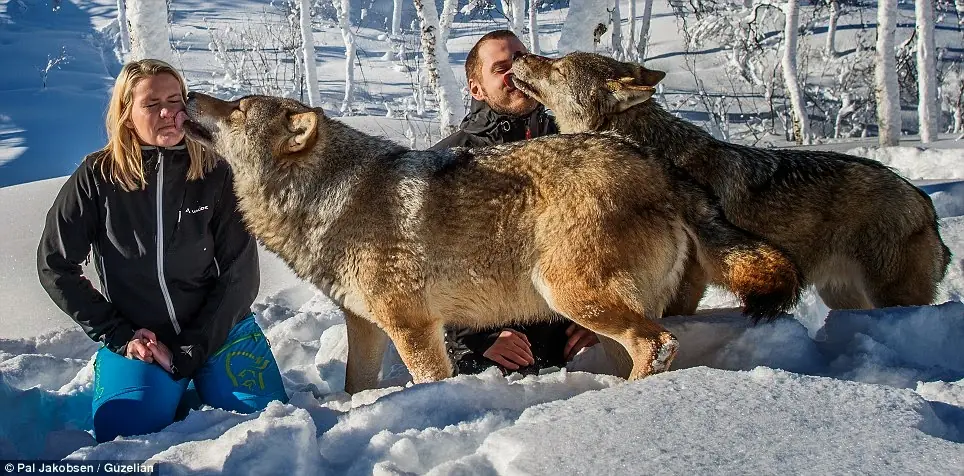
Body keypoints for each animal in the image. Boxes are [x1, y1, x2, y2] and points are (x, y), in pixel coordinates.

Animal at [182, 92, 802, 392]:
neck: (329, 196)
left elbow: (429, 381)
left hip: (570, 294)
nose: (190, 95)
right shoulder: (364, 324)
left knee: (658, 345)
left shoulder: (413, 327)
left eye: (237, 107)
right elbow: (357, 385)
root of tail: (659, 165)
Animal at [511, 51, 952, 313]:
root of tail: (923, 202)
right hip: (843, 296)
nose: (516, 54)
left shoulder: (690, 279)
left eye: (558, 66)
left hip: (889, 295)